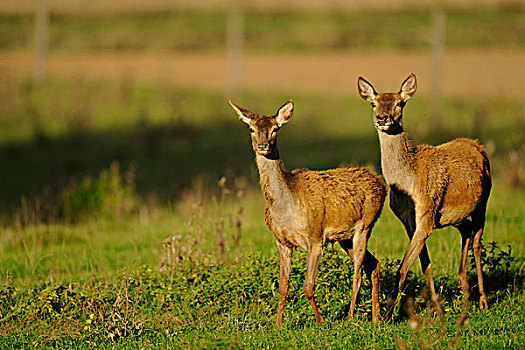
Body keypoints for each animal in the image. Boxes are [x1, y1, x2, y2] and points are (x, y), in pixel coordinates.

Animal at [228, 99, 384, 328]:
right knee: (373, 264)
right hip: (345, 238)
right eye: (251, 128)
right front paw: (278, 324)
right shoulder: (282, 241)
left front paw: (320, 321)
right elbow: (283, 286)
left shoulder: (315, 237)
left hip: (366, 224)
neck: (286, 208)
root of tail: (381, 183)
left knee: (357, 274)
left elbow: (308, 286)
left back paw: (350, 318)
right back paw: (377, 317)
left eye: (276, 129)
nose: (263, 145)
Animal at [356, 74, 492, 318]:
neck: (409, 181)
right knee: (466, 229)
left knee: (477, 242)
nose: (382, 118)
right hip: (450, 216)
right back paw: (463, 286)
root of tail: (477, 145)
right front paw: (437, 308)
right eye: (373, 103)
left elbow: (402, 269)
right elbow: (425, 265)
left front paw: (388, 315)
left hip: (483, 201)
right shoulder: (411, 221)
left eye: (400, 103)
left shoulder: (426, 214)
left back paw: (483, 301)